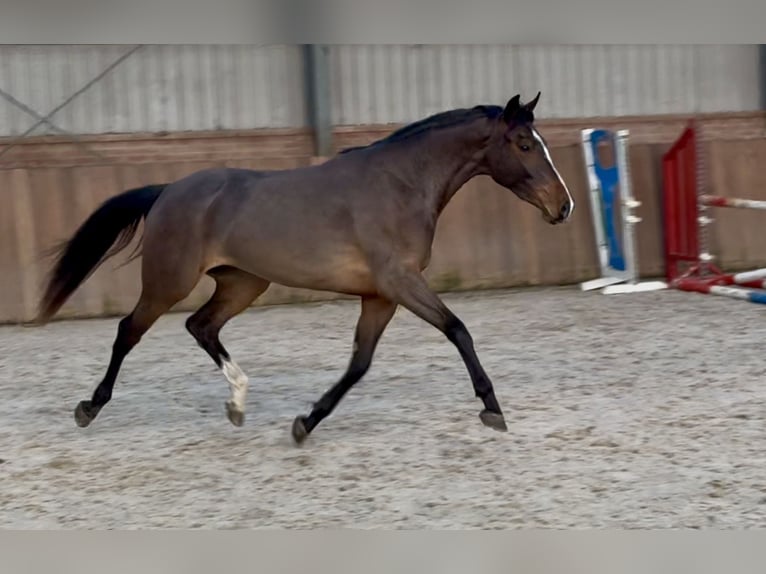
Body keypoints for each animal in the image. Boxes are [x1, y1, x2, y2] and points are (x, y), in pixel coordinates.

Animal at [36, 92, 574, 444]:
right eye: (524, 144)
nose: (563, 206)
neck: (400, 184)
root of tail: (168, 189)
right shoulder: (401, 282)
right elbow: (458, 329)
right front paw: (493, 409)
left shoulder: (380, 295)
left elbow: (359, 364)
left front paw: (305, 423)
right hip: (169, 282)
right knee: (129, 330)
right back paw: (89, 407)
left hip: (244, 283)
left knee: (201, 326)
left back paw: (237, 403)